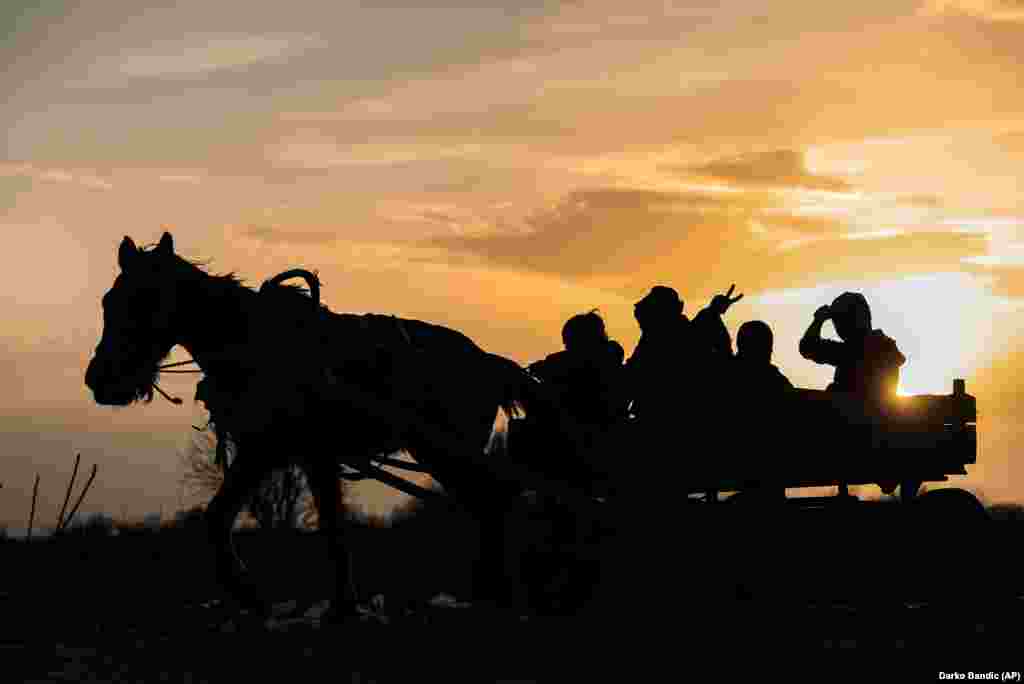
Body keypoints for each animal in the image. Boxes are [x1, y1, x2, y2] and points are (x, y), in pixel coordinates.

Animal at [86, 231, 606, 618]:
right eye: (109, 302)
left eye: (145, 299)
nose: (101, 380)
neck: (257, 344)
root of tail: (486, 361)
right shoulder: (289, 452)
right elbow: (296, 523)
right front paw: (331, 604)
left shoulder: (278, 450)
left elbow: (298, 526)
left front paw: (258, 593)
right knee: (488, 505)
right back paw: (493, 593)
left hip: (446, 451)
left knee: (493, 503)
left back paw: (500, 593)